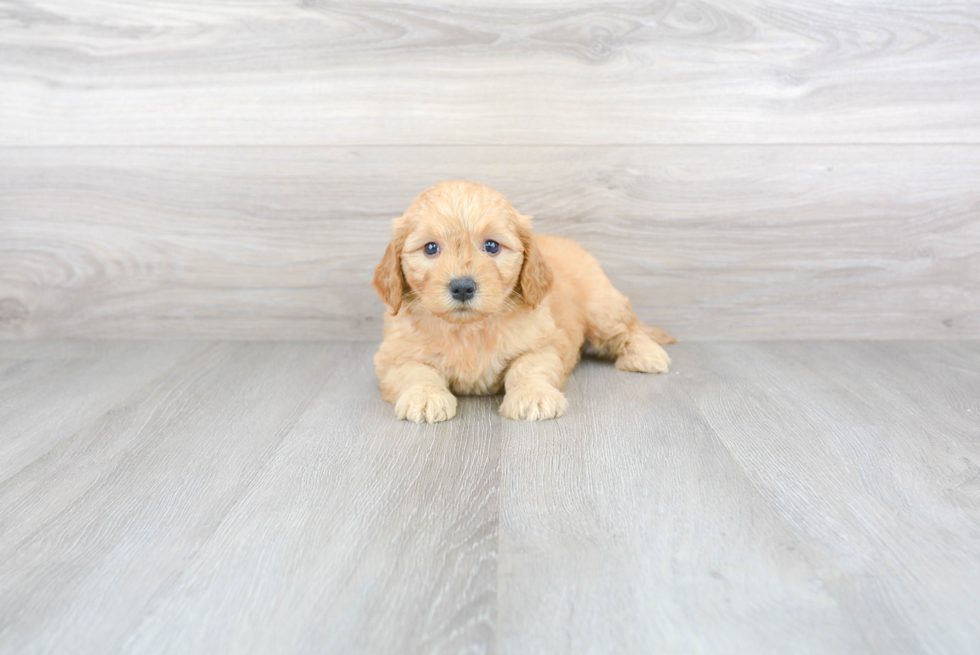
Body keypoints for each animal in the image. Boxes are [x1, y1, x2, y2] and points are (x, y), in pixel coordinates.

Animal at [374, 182, 672, 422]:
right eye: (430, 248)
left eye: (492, 246)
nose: (462, 287)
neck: (469, 330)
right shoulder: (394, 355)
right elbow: (415, 372)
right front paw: (425, 397)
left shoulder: (544, 343)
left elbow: (527, 367)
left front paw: (533, 396)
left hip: (602, 307)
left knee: (627, 329)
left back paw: (647, 354)